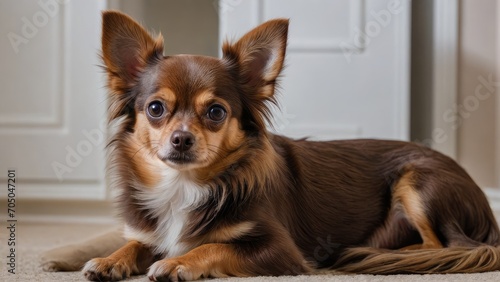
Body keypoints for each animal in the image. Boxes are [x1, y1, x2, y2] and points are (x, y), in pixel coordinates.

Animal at [65, 9, 500, 280]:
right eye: (155, 108)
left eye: (216, 112)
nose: (182, 139)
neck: (184, 185)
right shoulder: (149, 235)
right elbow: (135, 246)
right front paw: (110, 259)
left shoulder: (279, 251)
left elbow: (213, 247)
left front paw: (177, 263)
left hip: (416, 181)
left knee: (444, 244)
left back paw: (400, 254)